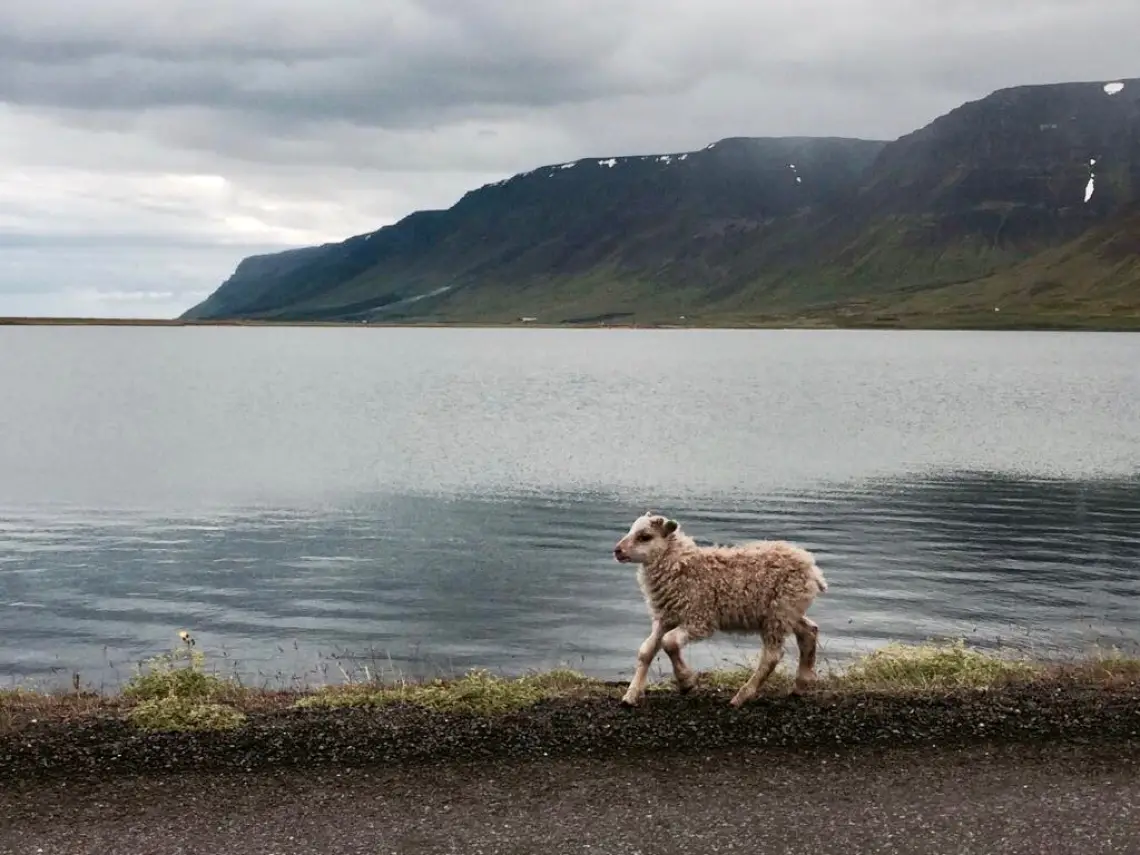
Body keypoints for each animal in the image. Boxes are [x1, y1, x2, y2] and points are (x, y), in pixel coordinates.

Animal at [612, 510, 828, 708]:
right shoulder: (666, 617)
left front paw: (686, 681)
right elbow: (646, 650)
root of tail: (812, 568)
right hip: (788, 611)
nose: (617, 551)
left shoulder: (700, 619)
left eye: (645, 536)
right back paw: (800, 685)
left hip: (779, 613)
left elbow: (669, 642)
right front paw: (631, 695)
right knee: (809, 632)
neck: (682, 566)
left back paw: (742, 696)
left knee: (772, 656)